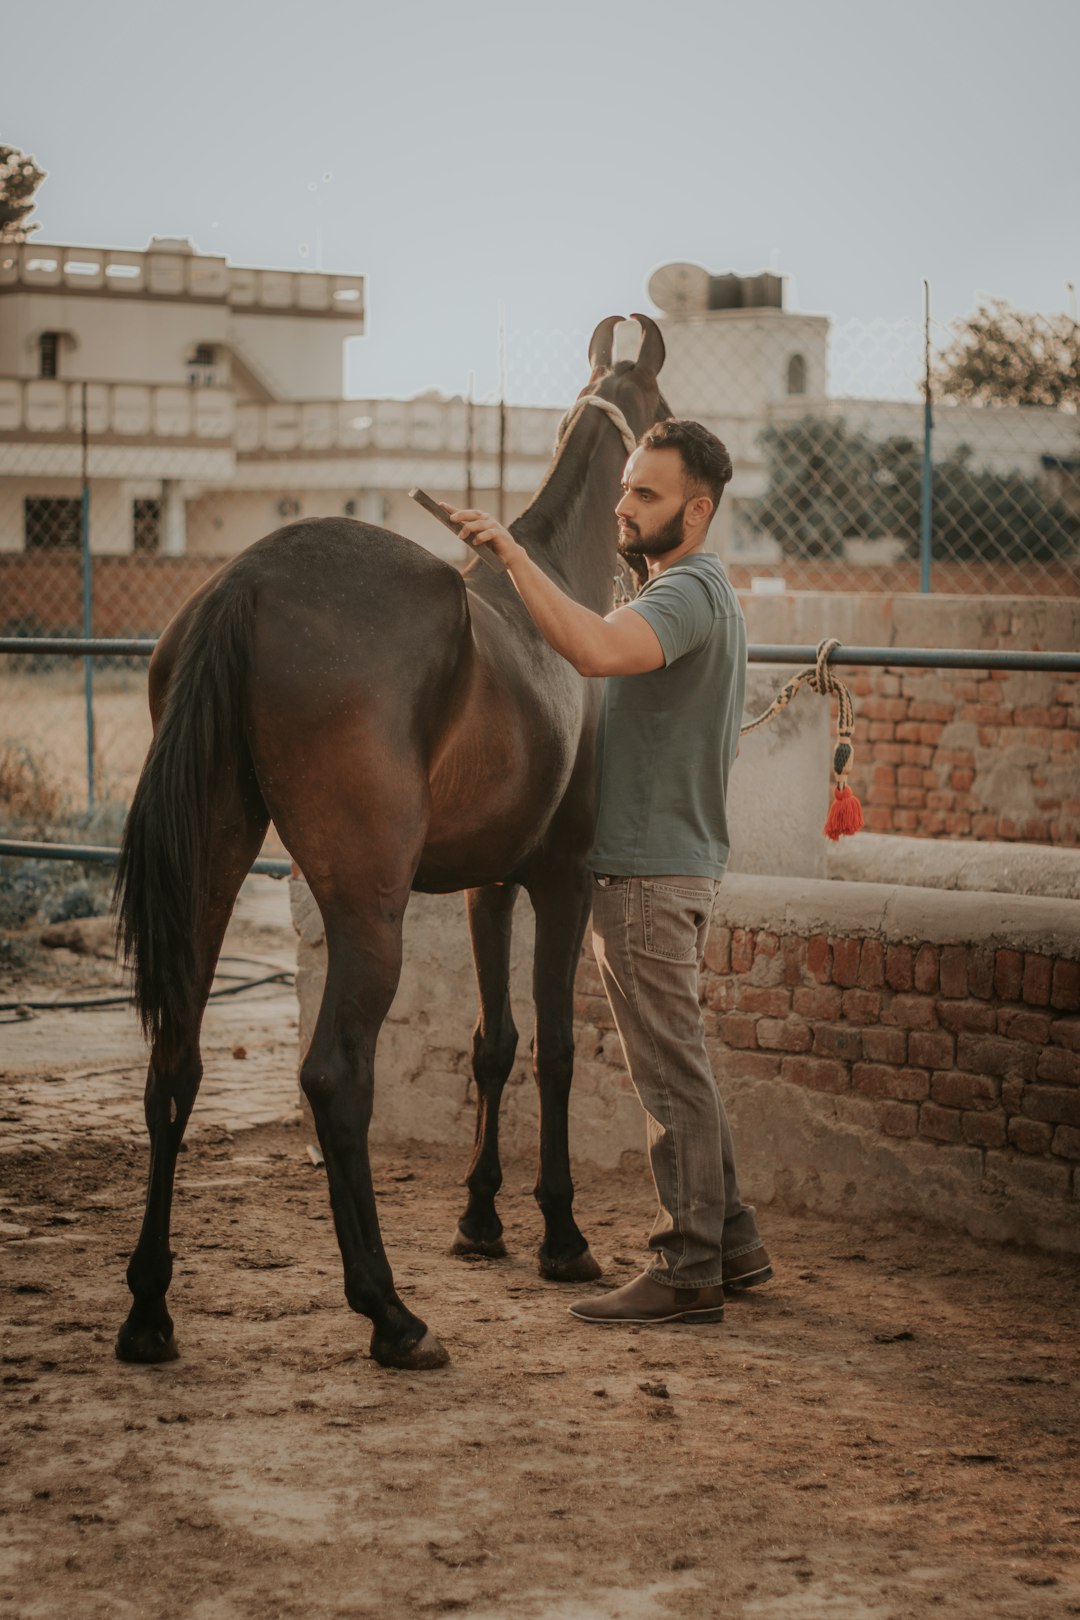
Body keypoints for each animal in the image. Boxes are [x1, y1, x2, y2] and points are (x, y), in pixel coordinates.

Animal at [111, 312, 667, 1367]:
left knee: (175, 1067)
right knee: (335, 1078)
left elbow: (494, 1043)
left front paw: (481, 1222)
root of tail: (248, 585)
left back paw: (149, 1312)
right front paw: (561, 1235)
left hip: (210, 874)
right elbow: (557, 1048)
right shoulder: (561, 881)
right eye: (664, 416)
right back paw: (390, 1313)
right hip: (368, 911)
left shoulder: (493, 884)